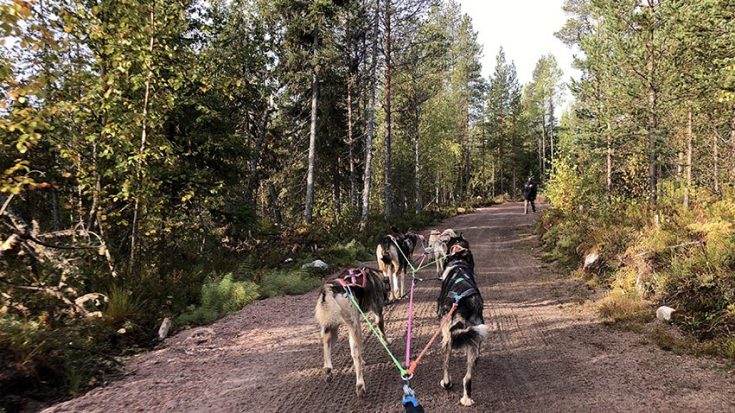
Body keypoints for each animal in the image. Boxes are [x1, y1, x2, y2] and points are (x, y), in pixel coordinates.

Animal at [314, 268, 392, 396]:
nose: (388, 300)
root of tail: (330, 287)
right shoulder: (377, 314)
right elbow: (381, 332)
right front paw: (386, 342)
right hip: (352, 327)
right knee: (355, 354)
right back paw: (360, 385)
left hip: (331, 329)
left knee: (326, 348)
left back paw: (328, 370)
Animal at [436, 235, 488, 406]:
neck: (458, 261)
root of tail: (463, 303)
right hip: (476, 335)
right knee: (467, 377)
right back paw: (466, 398)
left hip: (448, 339)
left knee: (446, 366)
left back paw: (446, 383)